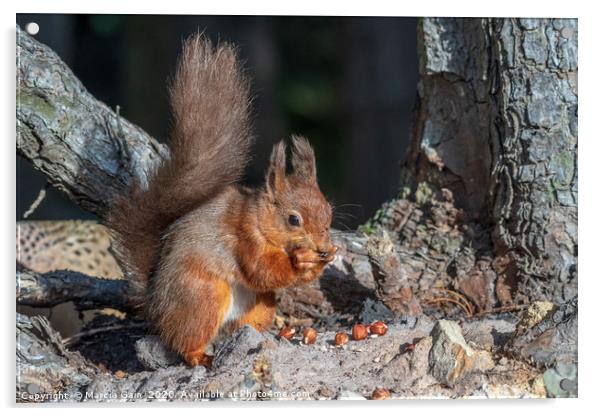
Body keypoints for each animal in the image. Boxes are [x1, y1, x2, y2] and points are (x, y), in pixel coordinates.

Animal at [105, 35, 336, 368]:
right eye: (294, 219)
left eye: (330, 213)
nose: (323, 247)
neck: (260, 217)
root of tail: (155, 306)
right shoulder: (244, 237)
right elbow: (261, 269)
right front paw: (301, 261)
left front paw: (325, 260)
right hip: (203, 296)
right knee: (185, 340)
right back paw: (200, 356)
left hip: (261, 304)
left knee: (239, 327)